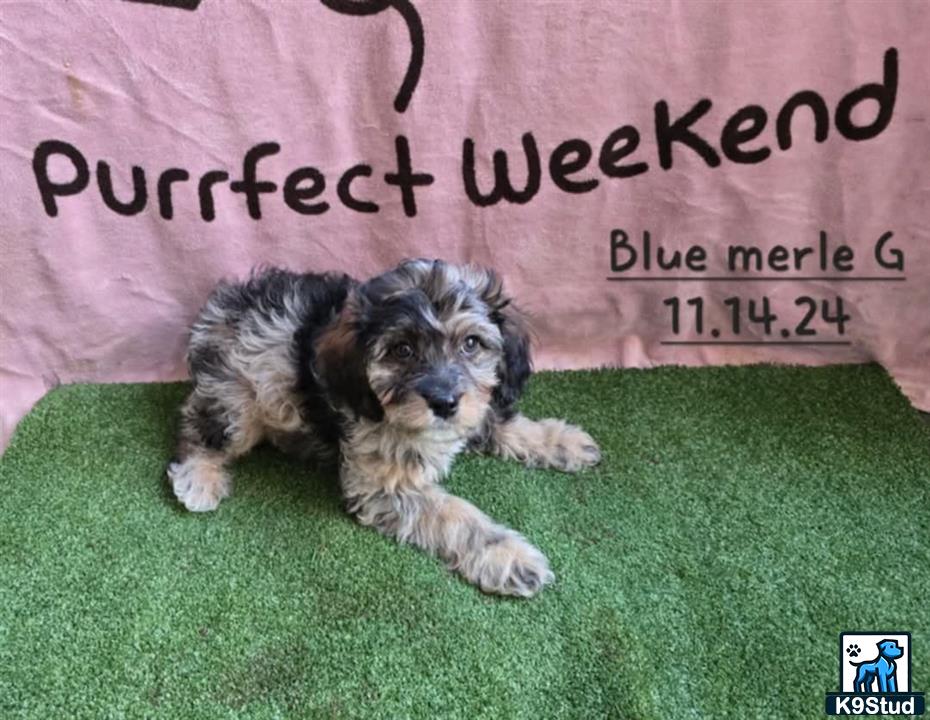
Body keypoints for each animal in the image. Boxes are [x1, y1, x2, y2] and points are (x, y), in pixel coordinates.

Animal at [167, 258, 600, 596]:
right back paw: (199, 479)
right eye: (402, 350)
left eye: (471, 344)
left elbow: (501, 421)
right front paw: (508, 555)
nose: (444, 402)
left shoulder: (476, 404)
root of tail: (219, 310)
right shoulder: (383, 483)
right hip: (236, 399)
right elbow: (455, 515)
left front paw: (563, 441)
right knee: (196, 424)